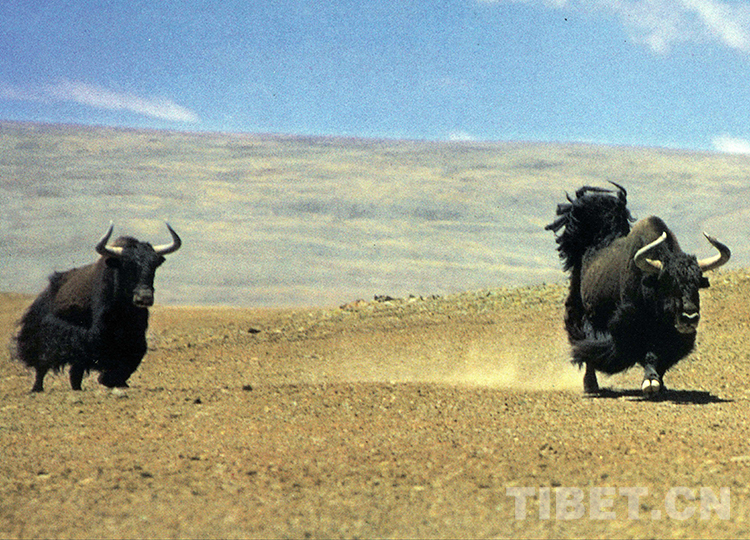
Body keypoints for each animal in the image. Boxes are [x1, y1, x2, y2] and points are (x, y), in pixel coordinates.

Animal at [13, 223, 181, 392]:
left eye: (154, 265)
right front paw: (106, 379)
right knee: (42, 364)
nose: (144, 297)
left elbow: (133, 357)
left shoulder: (136, 336)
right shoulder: (96, 335)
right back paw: (37, 388)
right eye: (127, 265)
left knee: (74, 372)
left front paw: (116, 381)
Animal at [545, 183, 730, 396]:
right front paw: (650, 383)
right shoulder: (631, 326)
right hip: (585, 313)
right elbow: (647, 355)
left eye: (697, 283)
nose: (689, 318)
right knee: (585, 345)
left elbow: (664, 358)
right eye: (668, 282)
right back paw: (591, 386)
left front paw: (660, 384)